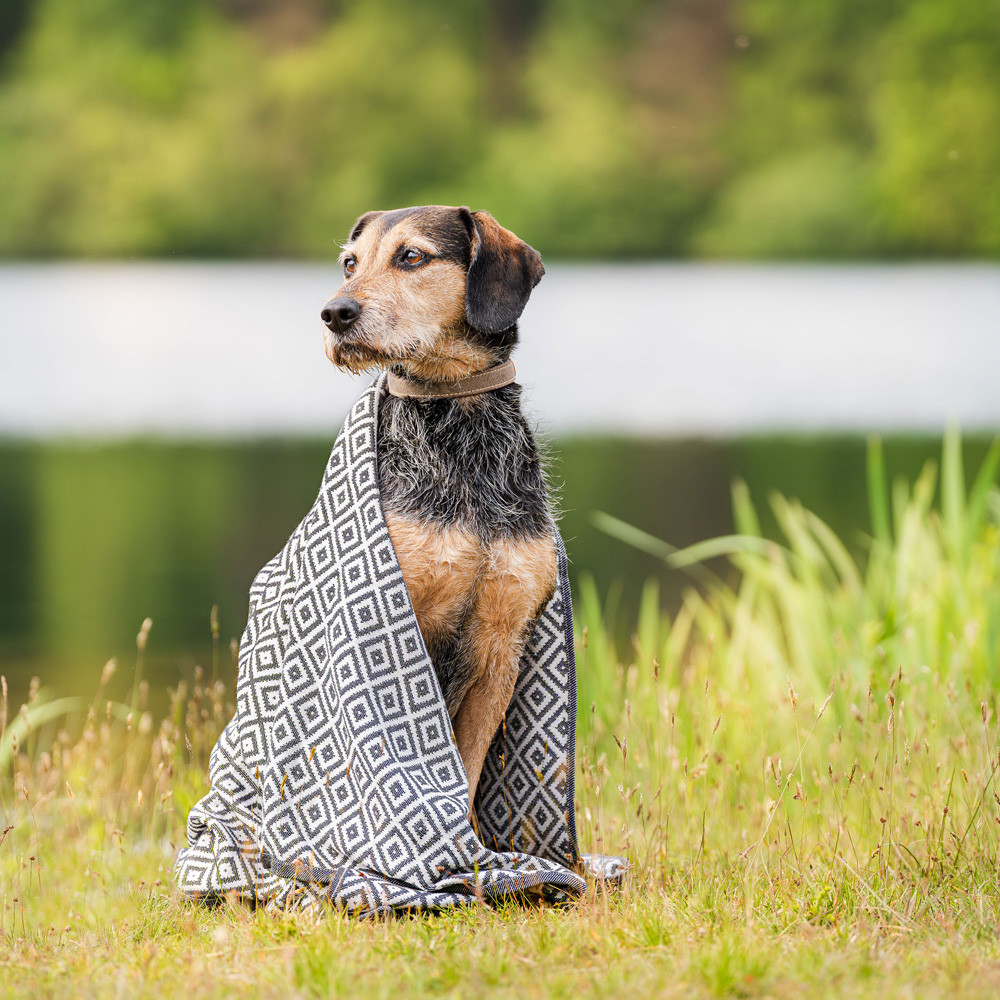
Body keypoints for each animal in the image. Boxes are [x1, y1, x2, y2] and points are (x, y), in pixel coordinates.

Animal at [322, 207, 556, 808]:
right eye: (350, 263)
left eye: (411, 256)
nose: (334, 313)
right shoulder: (398, 634)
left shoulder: (499, 644)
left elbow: (466, 781)